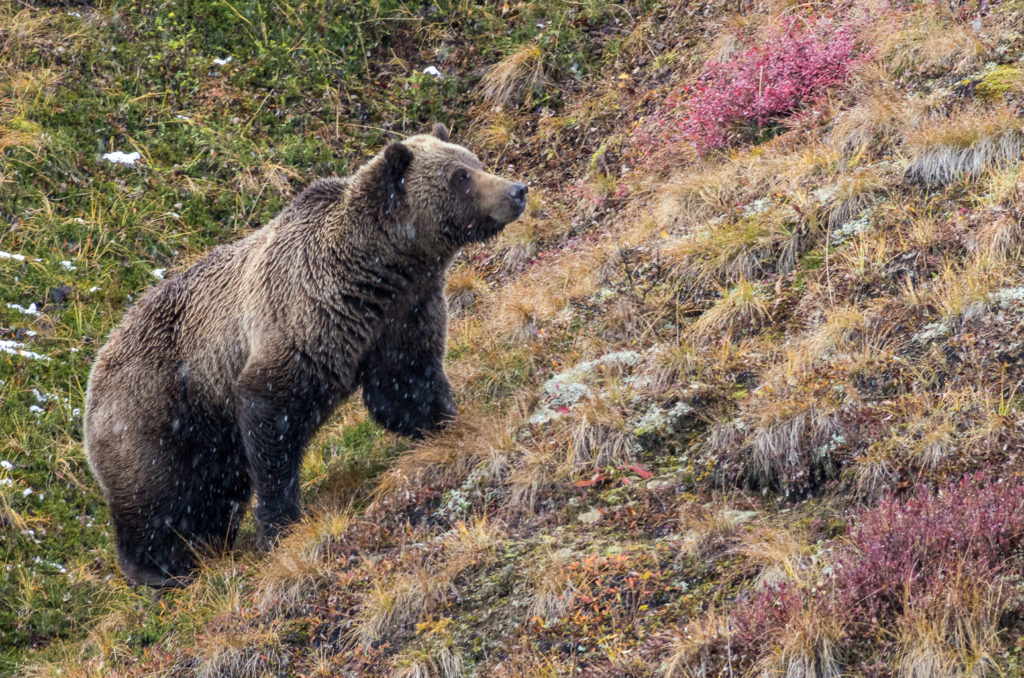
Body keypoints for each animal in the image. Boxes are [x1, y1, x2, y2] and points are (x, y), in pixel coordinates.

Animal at [83, 125, 524, 589]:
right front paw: (280, 526)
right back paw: (157, 568)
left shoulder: (401, 319)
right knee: (157, 489)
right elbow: (273, 413)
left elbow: (405, 387)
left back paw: (207, 546)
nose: (517, 190)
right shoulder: (302, 318)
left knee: (213, 489)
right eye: (460, 176)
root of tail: (101, 355)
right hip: (158, 405)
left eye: (474, 162)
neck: (377, 274)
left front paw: (447, 427)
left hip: (207, 429)